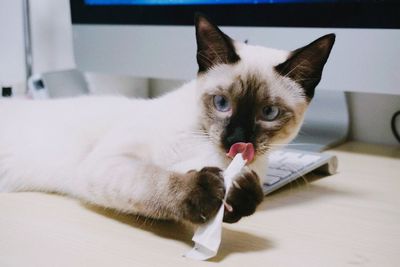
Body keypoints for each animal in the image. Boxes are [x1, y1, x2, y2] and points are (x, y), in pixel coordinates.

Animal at [0, 13, 334, 225]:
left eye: (269, 113)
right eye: (222, 103)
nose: (236, 140)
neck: (212, 152)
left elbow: (243, 198)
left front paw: (240, 195)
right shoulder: (111, 163)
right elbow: (158, 182)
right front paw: (204, 190)